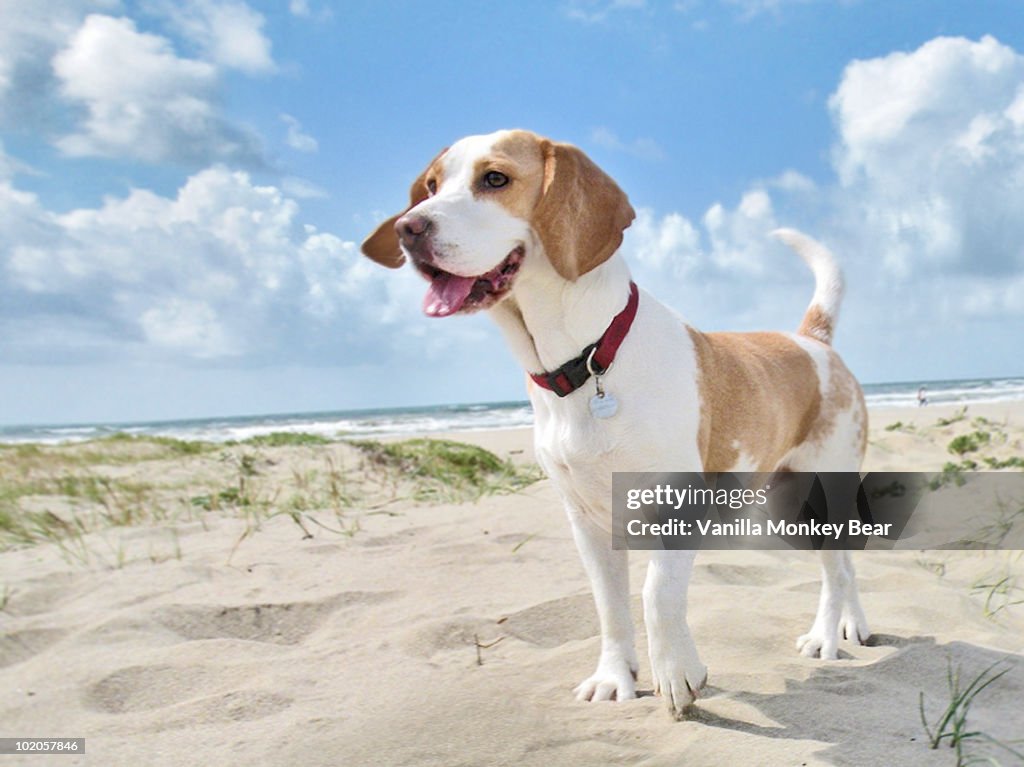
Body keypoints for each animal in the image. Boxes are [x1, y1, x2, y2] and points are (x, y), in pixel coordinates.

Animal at [364, 126, 868, 716]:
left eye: (495, 179)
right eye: (432, 186)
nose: (408, 229)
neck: (587, 360)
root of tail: (812, 339)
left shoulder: (679, 509)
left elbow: (655, 594)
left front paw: (677, 675)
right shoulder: (585, 521)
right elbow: (609, 606)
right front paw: (615, 678)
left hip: (825, 491)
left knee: (838, 569)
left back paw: (826, 635)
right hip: (787, 509)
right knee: (842, 567)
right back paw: (851, 627)